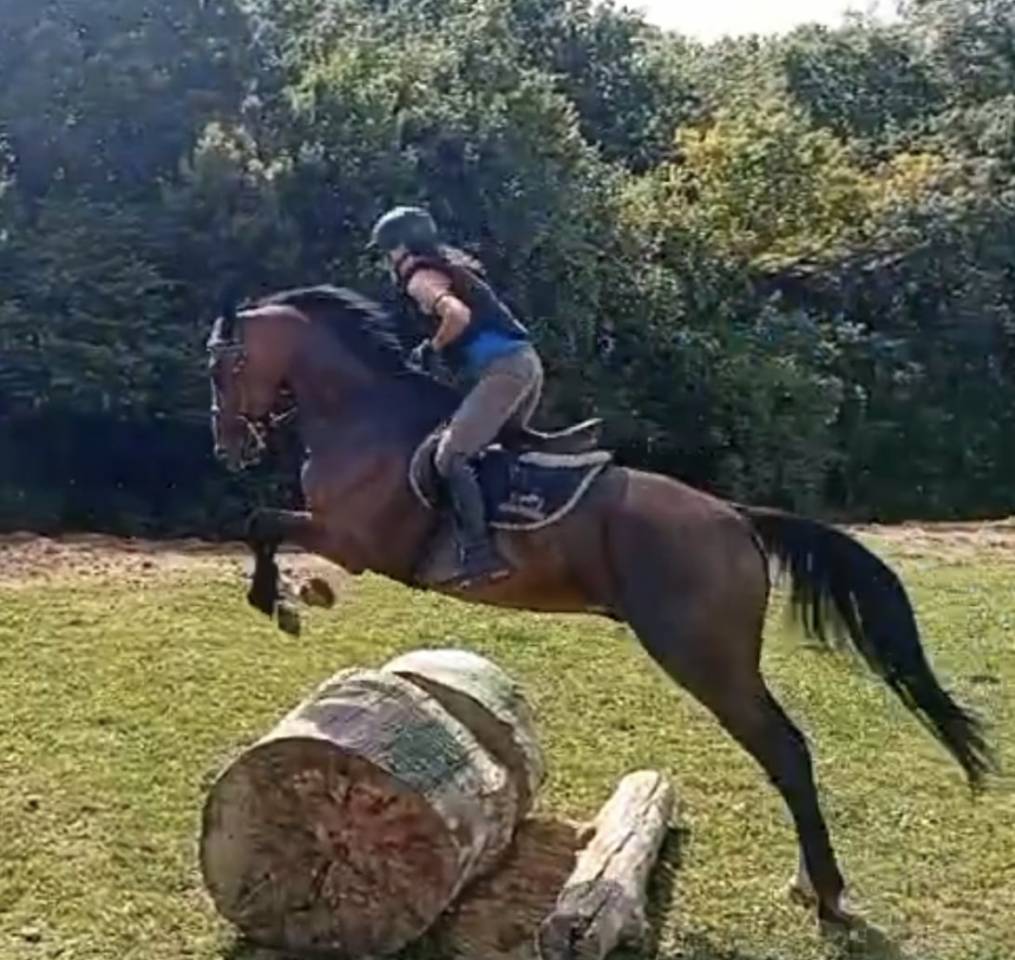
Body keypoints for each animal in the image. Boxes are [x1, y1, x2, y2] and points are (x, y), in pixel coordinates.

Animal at [206, 283, 994, 929]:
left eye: (223, 369)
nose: (228, 446)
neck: (361, 412)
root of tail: (737, 518)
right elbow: (259, 523)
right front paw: (290, 598)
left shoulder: (351, 541)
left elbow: (260, 521)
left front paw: (279, 602)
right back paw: (812, 881)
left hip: (703, 656)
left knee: (785, 749)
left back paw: (826, 892)